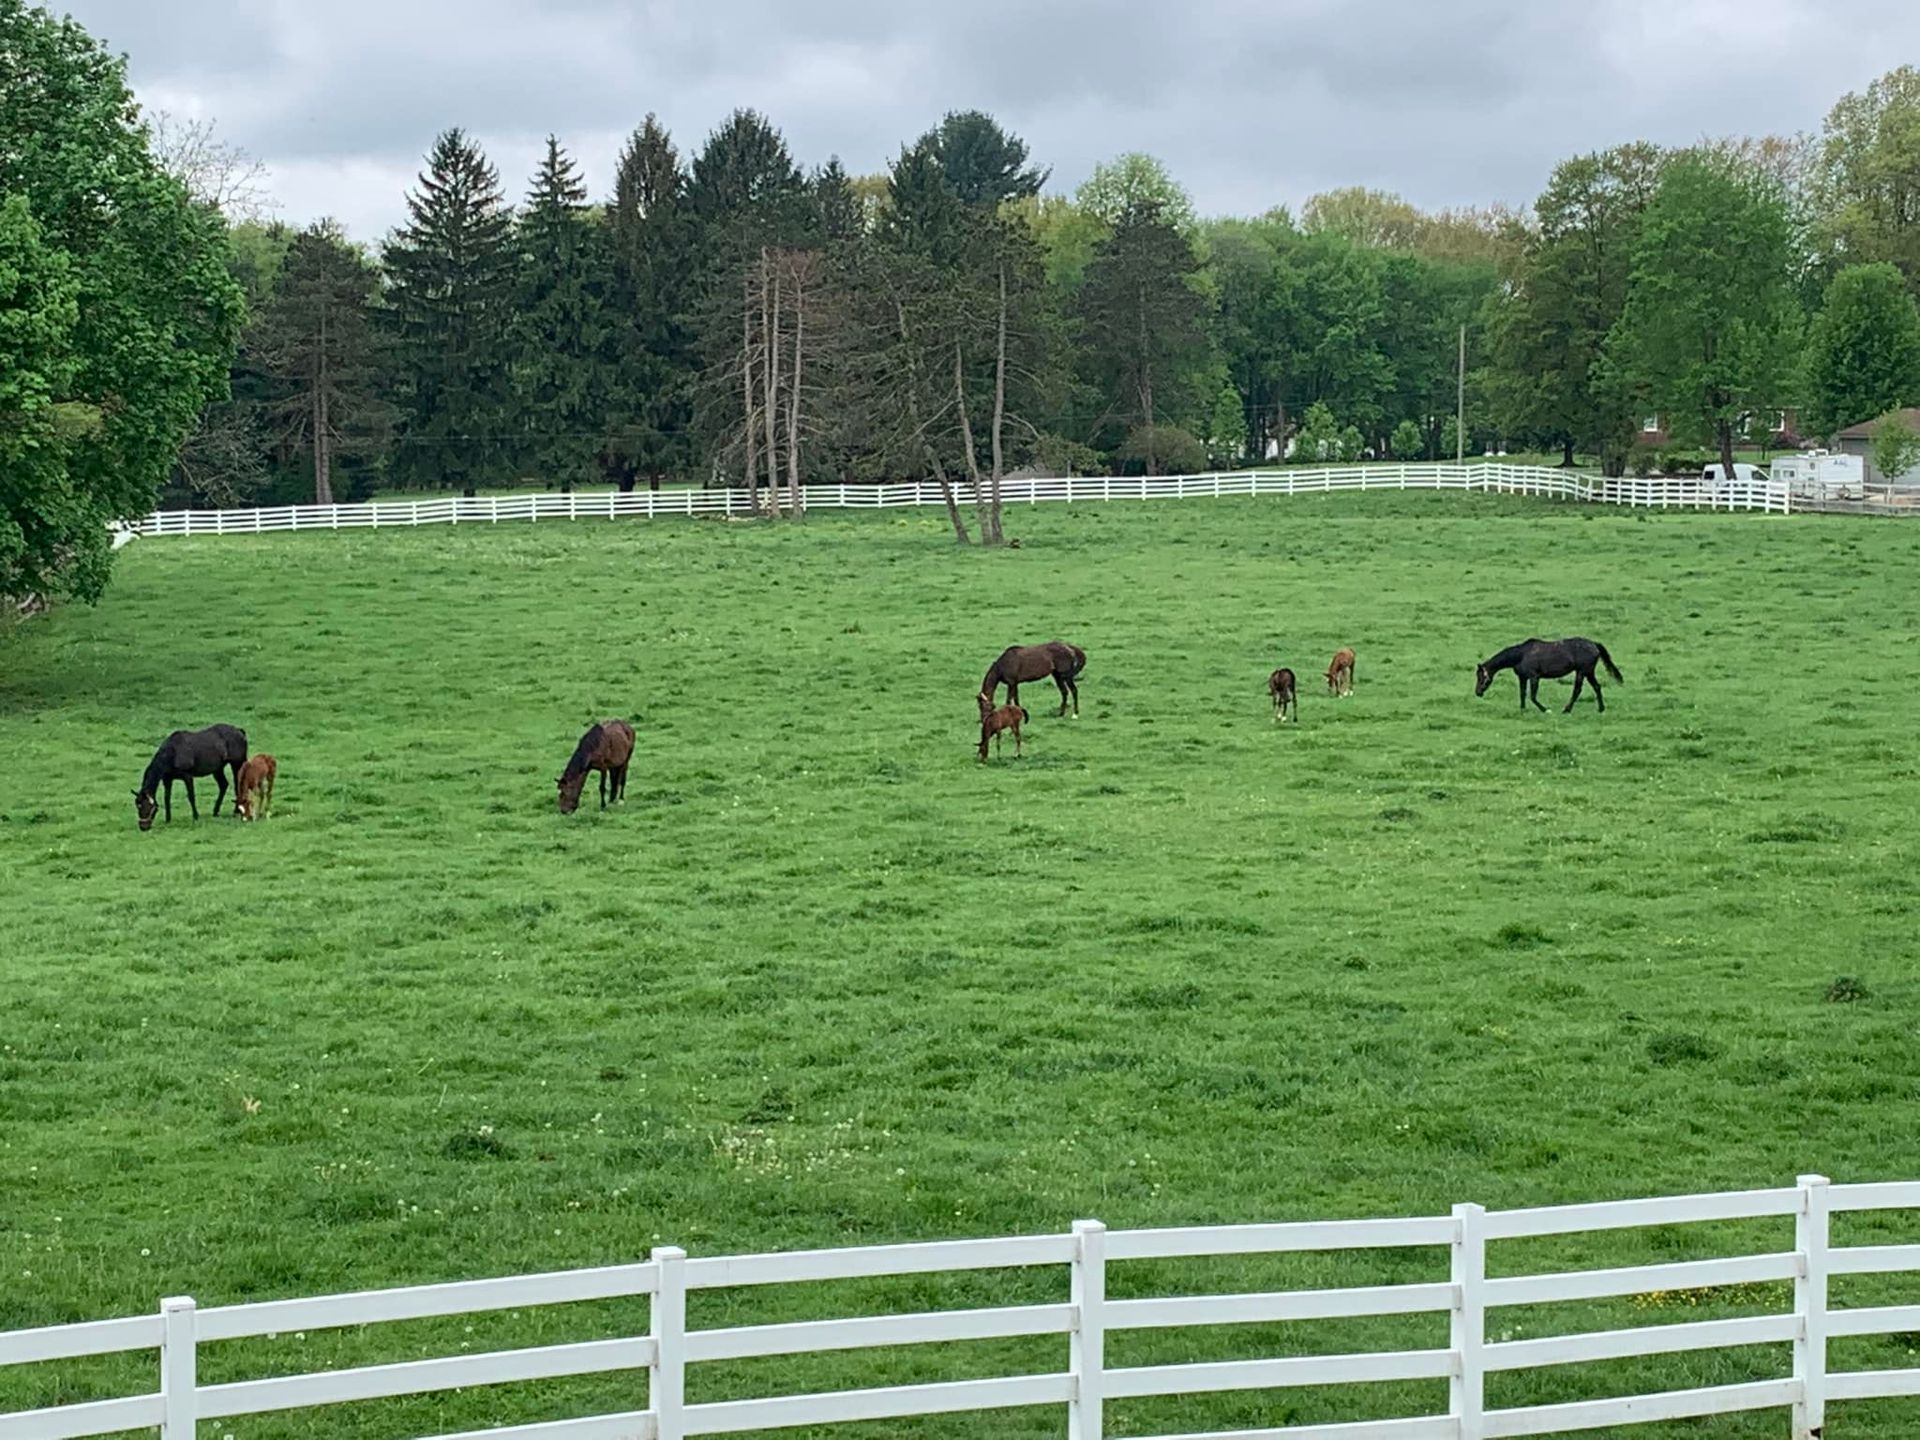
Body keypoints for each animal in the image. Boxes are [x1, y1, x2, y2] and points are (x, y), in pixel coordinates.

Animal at [1475, 637, 1623, 713]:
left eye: (1481, 677)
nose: (1477, 692)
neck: (1521, 655)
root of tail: (1594, 645)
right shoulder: (1522, 677)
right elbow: (1522, 693)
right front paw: (1522, 709)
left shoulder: (1534, 677)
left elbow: (1533, 696)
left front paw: (1545, 709)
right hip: (1587, 672)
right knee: (1596, 687)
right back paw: (1601, 709)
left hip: (1583, 671)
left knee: (1577, 690)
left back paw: (1567, 709)